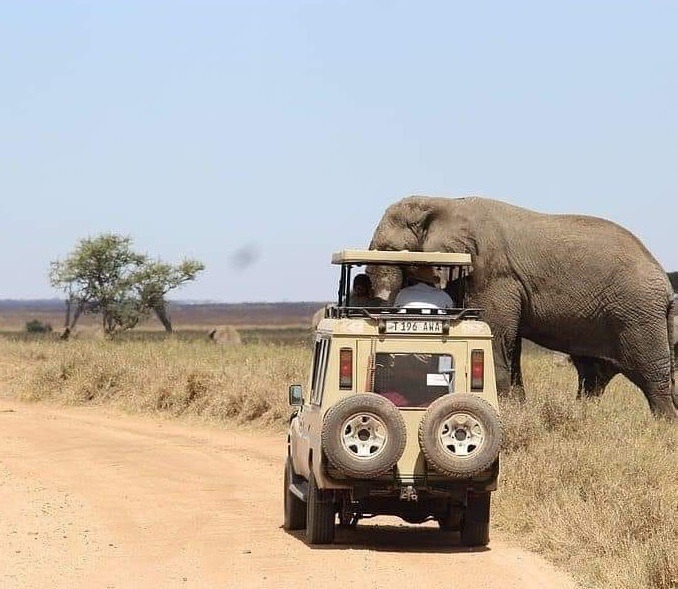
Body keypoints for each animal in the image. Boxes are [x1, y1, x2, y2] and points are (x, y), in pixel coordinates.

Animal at [367, 195, 677, 419]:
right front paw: (516, 407)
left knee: (651, 371)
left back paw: (663, 424)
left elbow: (495, 331)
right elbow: (508, 340)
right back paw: (584, 413)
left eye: (390, 251)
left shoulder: (493, 271)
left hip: (638, 316)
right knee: (593, 374)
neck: (441, 203)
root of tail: (666, 285)